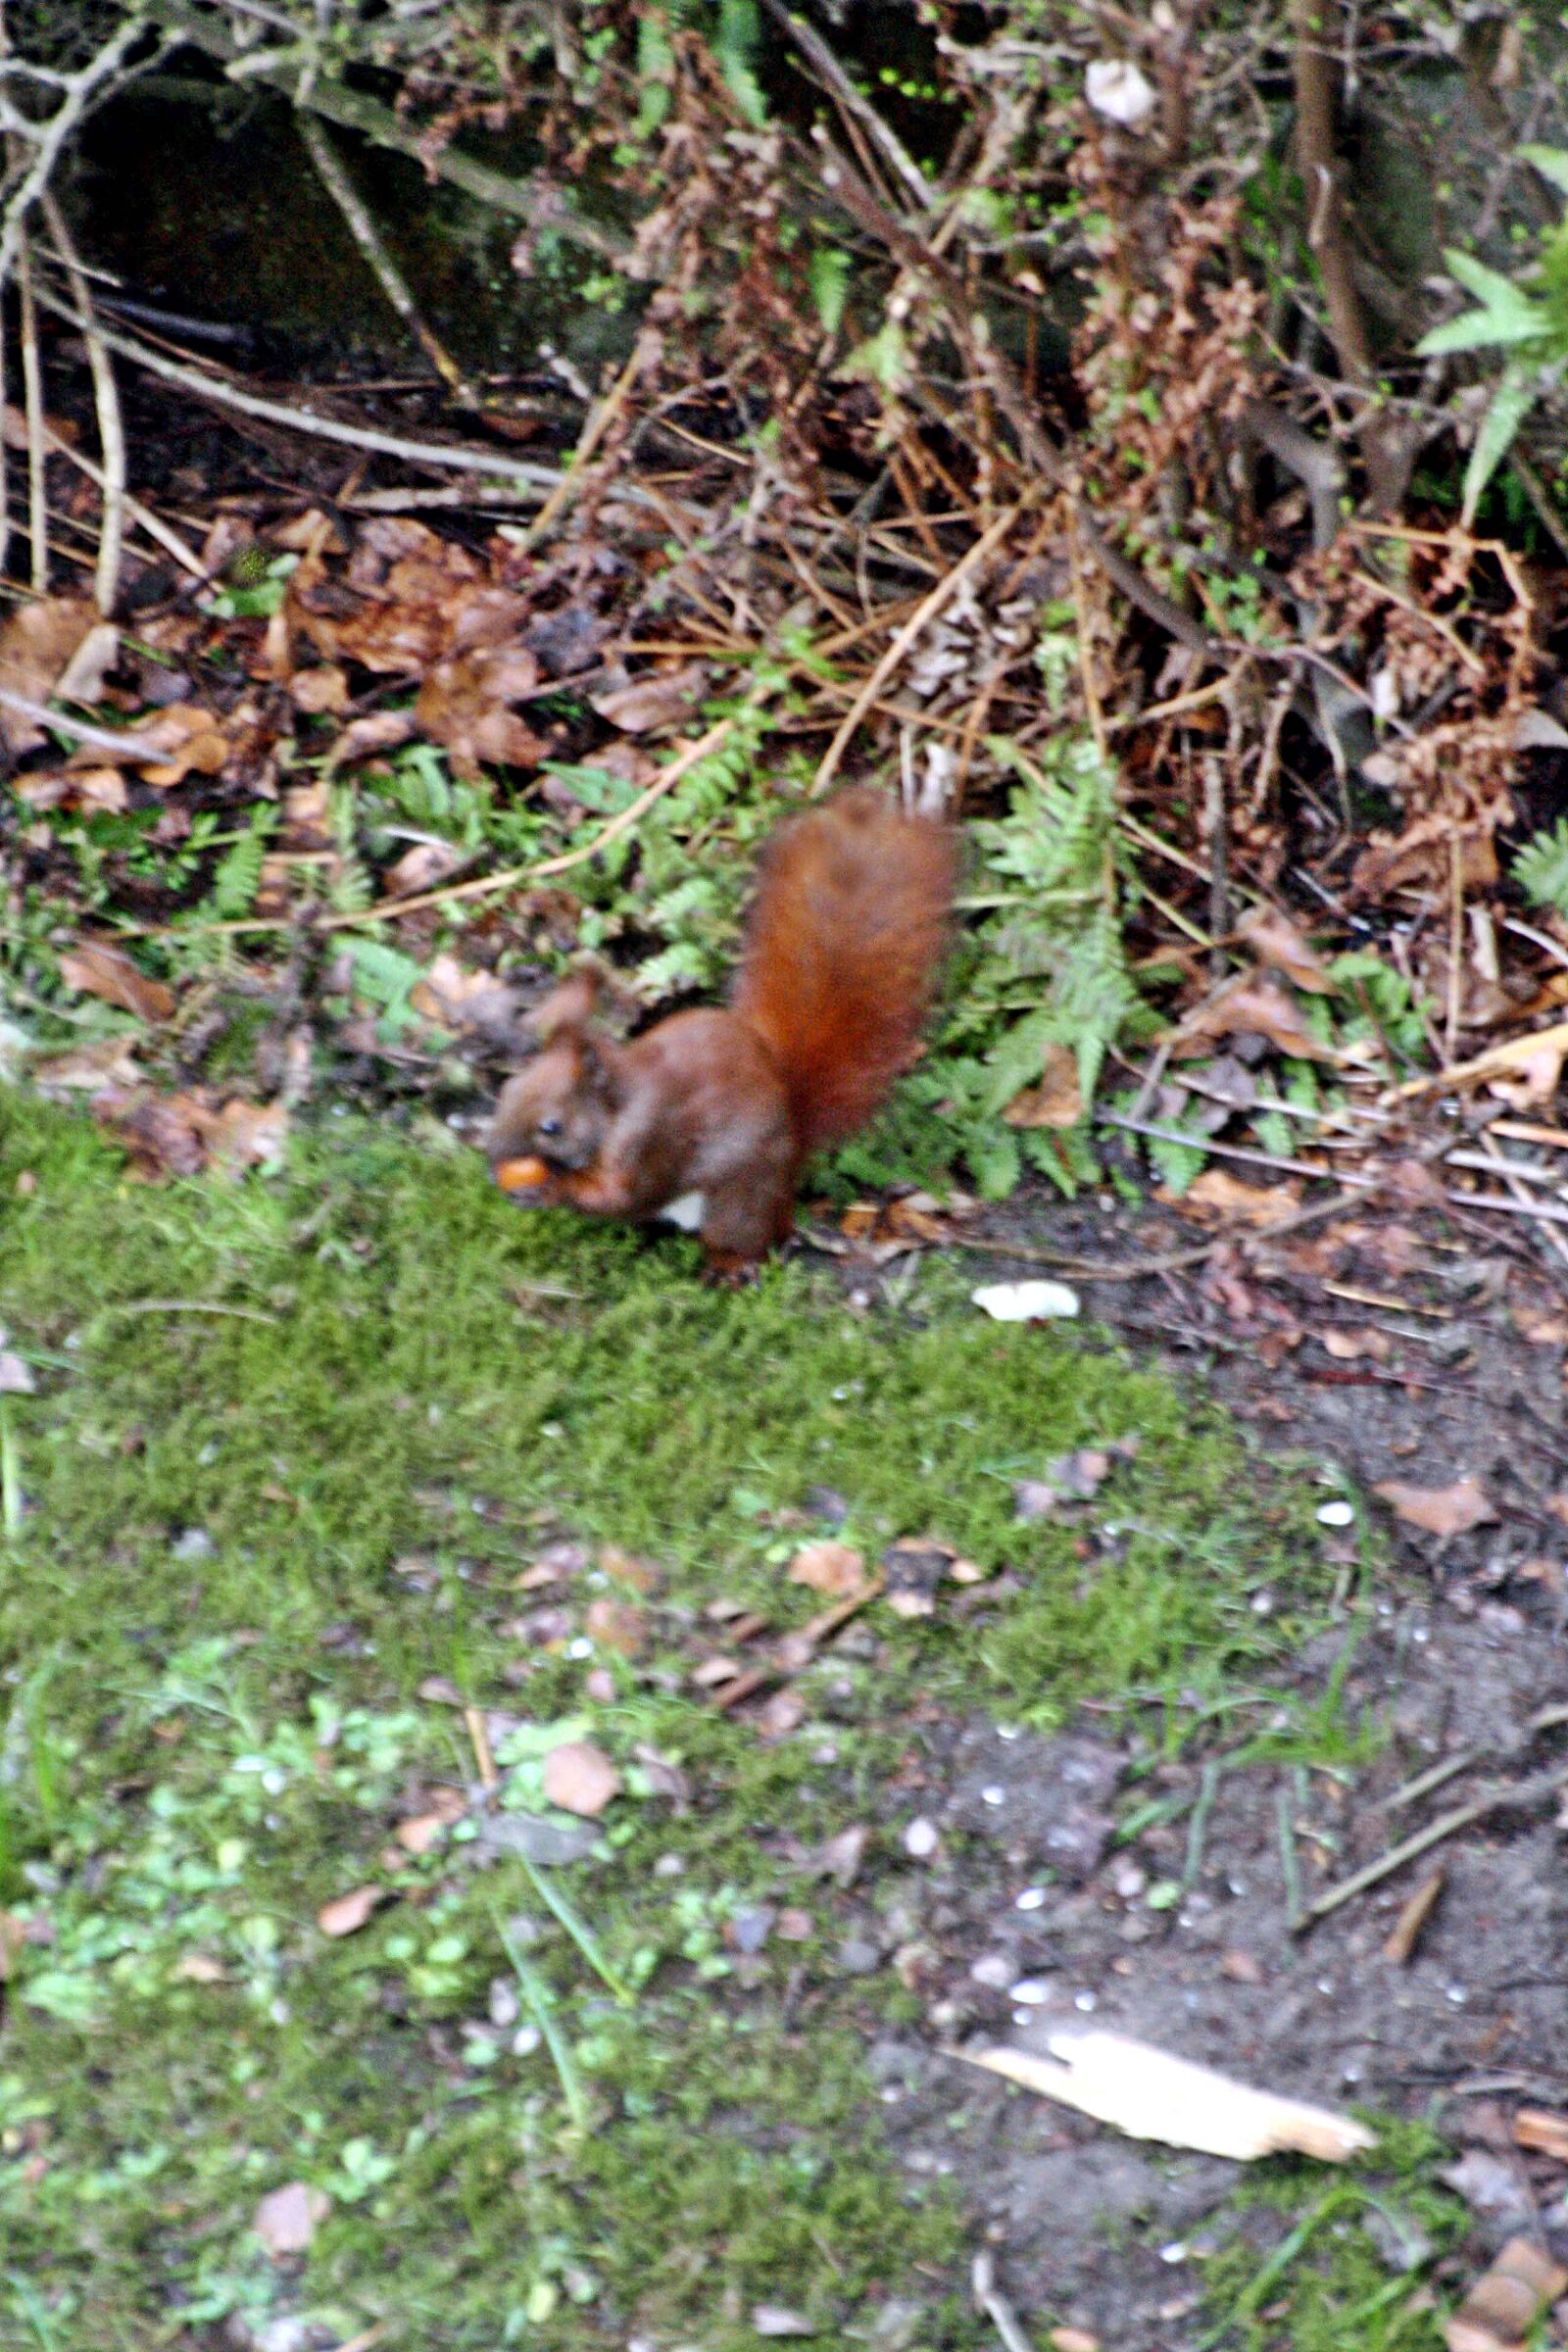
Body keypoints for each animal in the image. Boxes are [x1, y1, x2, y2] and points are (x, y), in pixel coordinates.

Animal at [486, 787, 955, 1280]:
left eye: (551, 1126)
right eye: (510, 1087)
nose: (493, 1158)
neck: (618, 1105)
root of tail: (792, 1157)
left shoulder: (647, 1140)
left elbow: (617, 1194)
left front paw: (548, 1189)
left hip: (738, 1200)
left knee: (747, 1236)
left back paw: (730, 1267)